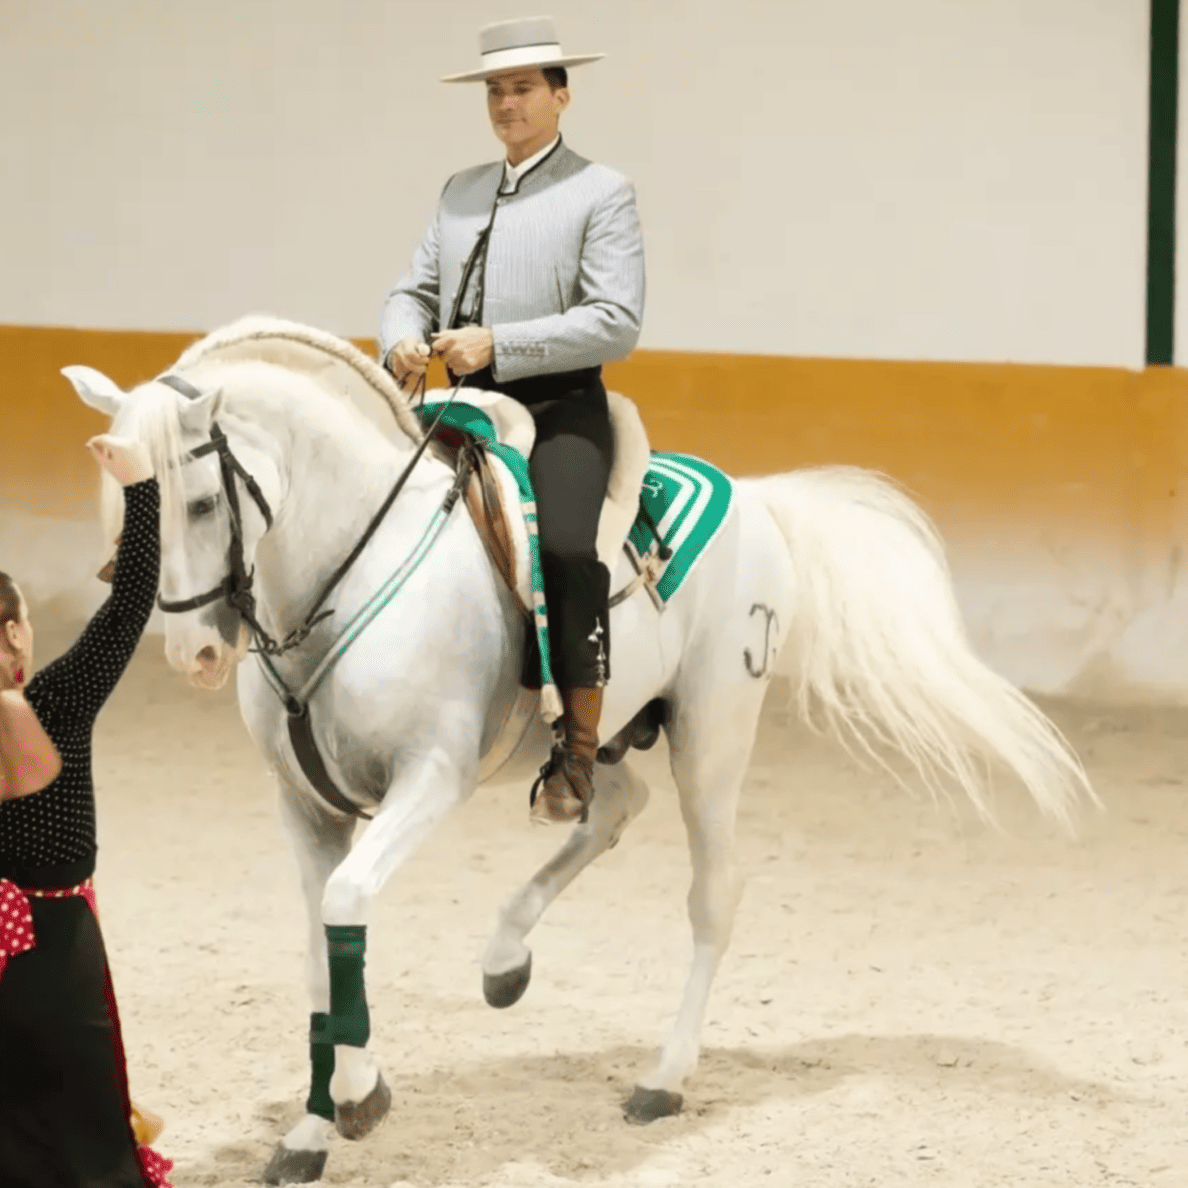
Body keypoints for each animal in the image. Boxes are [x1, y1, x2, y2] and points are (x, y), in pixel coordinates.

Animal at [65, 320, 1092, 1183]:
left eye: (202, 502)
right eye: (124, 503)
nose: (194, 657)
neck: (347, 574)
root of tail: (756, 500)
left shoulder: (428, 780)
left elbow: (348, 905)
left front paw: (356, 1103)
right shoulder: (305, 806)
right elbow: (321, 946)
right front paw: (317, 1126)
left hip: (712, 734)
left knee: (713, 894)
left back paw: (661, 1080)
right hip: (596, 740)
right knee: (609, 808)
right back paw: (504, 960)